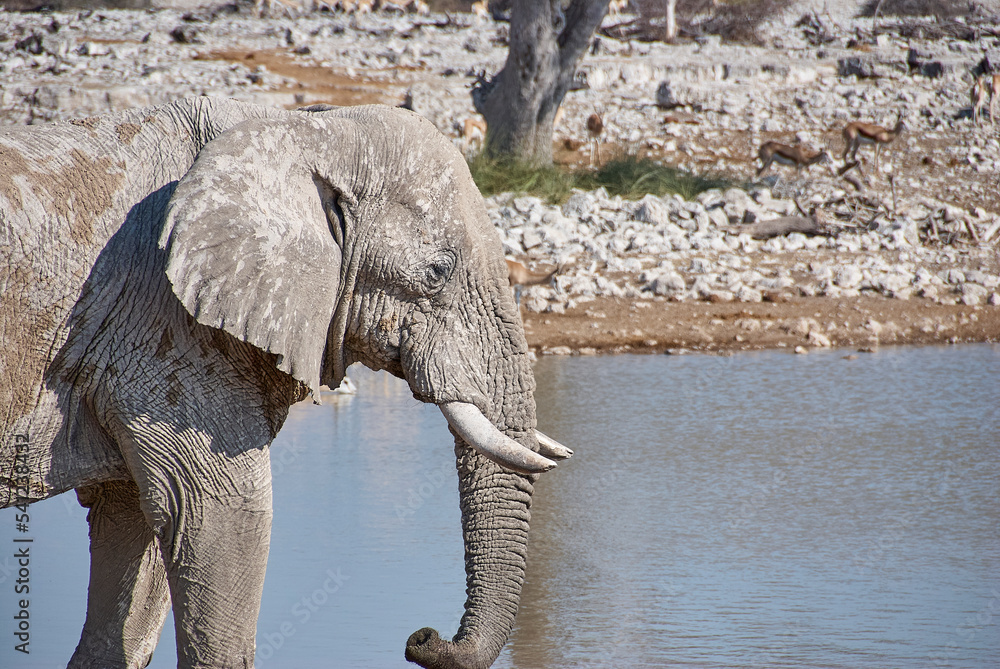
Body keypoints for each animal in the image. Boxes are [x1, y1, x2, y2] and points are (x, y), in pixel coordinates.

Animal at [0, 97, 572, 669]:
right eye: (437, 272)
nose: (421, 638)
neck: (304, 130)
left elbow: (131, 525)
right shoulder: (163, 330)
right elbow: (221, 519)